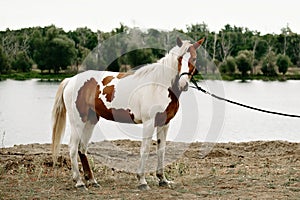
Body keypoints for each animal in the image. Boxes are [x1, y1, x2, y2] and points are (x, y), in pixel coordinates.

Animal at [52, 37, 204, 189]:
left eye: (194, 58)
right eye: (179, 58)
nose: (183, 84)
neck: (158, 85)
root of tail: (70, 80)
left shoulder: (164, 123)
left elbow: (161, 150)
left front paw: (163, 179)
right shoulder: (149, 123)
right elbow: (145, 149)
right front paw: (142, 181)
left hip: (91, 120)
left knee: (82, 148)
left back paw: (92, 180)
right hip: (78, 121)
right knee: (73, 147)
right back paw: (79, 182)